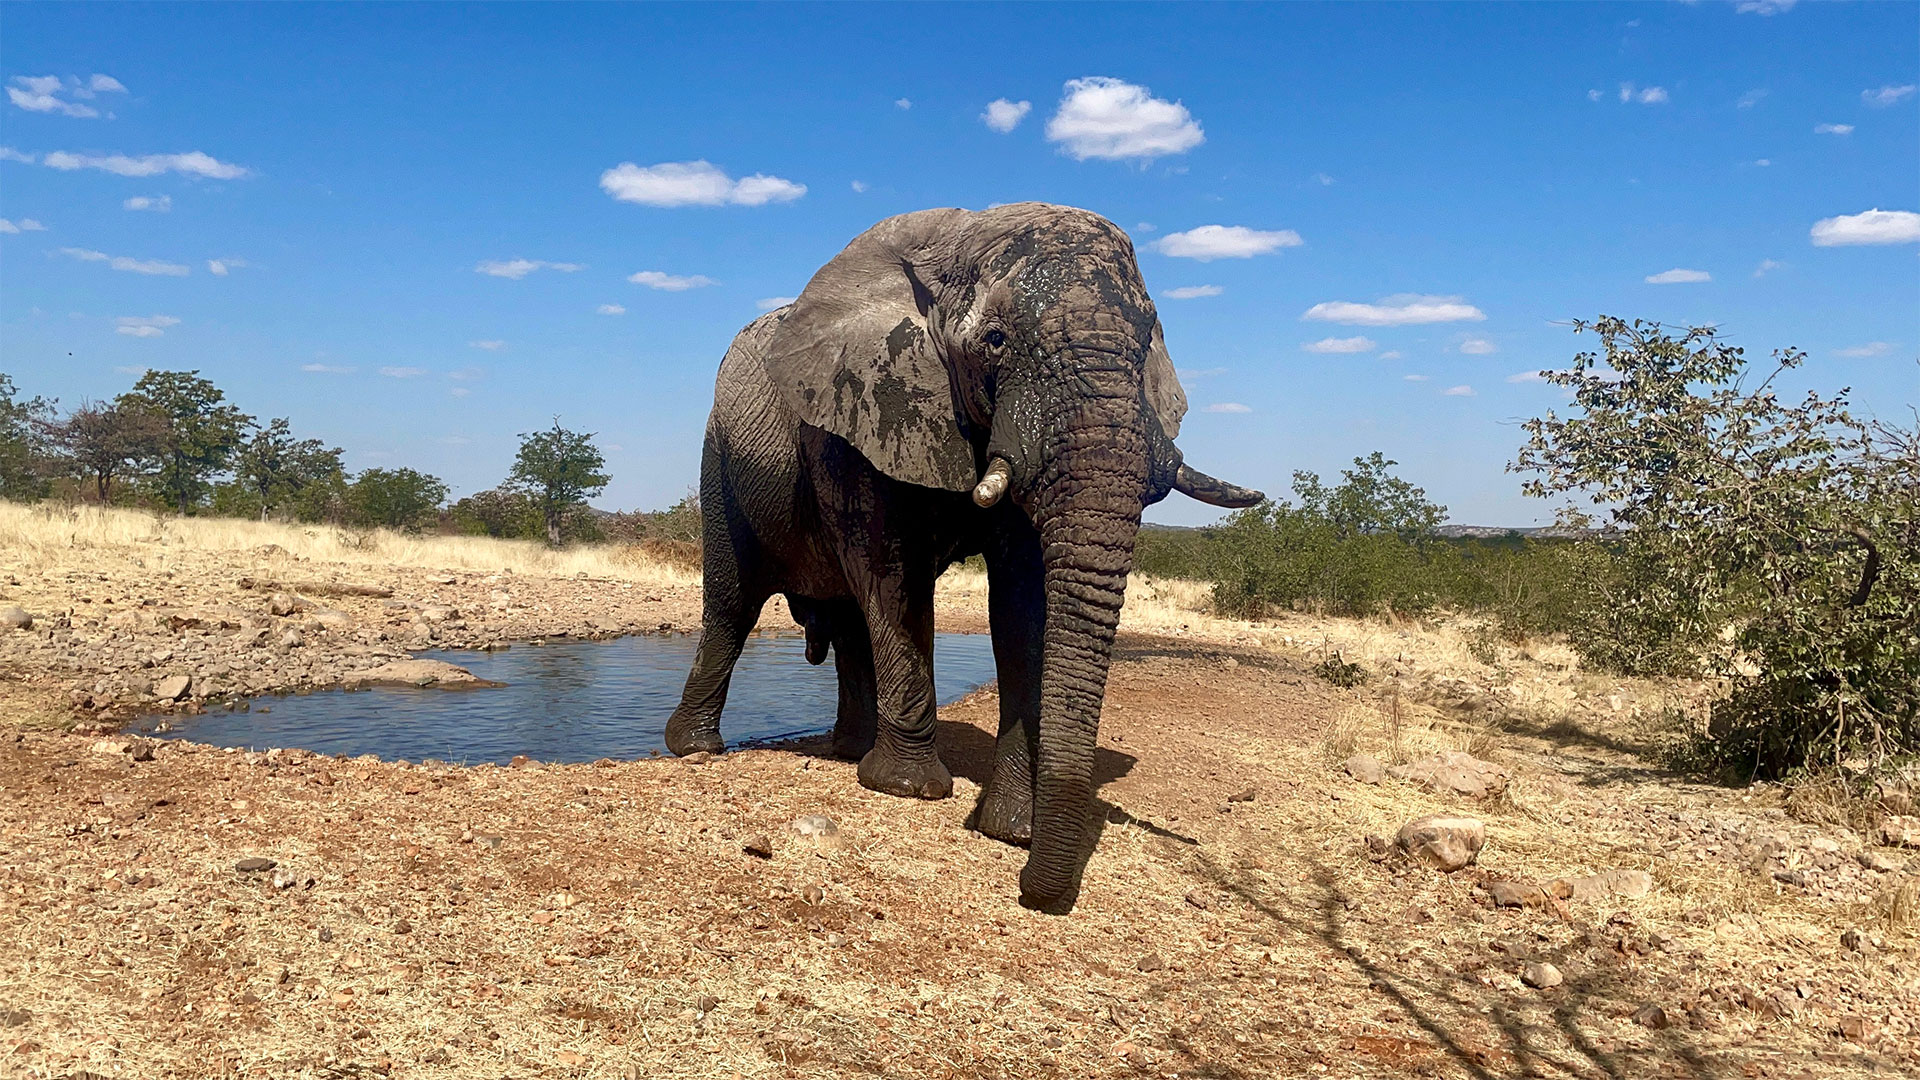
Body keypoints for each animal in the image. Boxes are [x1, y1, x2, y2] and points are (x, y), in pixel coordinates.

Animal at [660, 203, 1259, 907]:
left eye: (1146, 349)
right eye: (995, 341)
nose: (1029, 890)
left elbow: (1023, 604)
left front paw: (1009, 828)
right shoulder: (857, 414)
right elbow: (892, 574)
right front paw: (911, 791)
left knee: (848, 621)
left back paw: (849, 751)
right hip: (721, 461)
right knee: (734, 603)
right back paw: (696, 748)